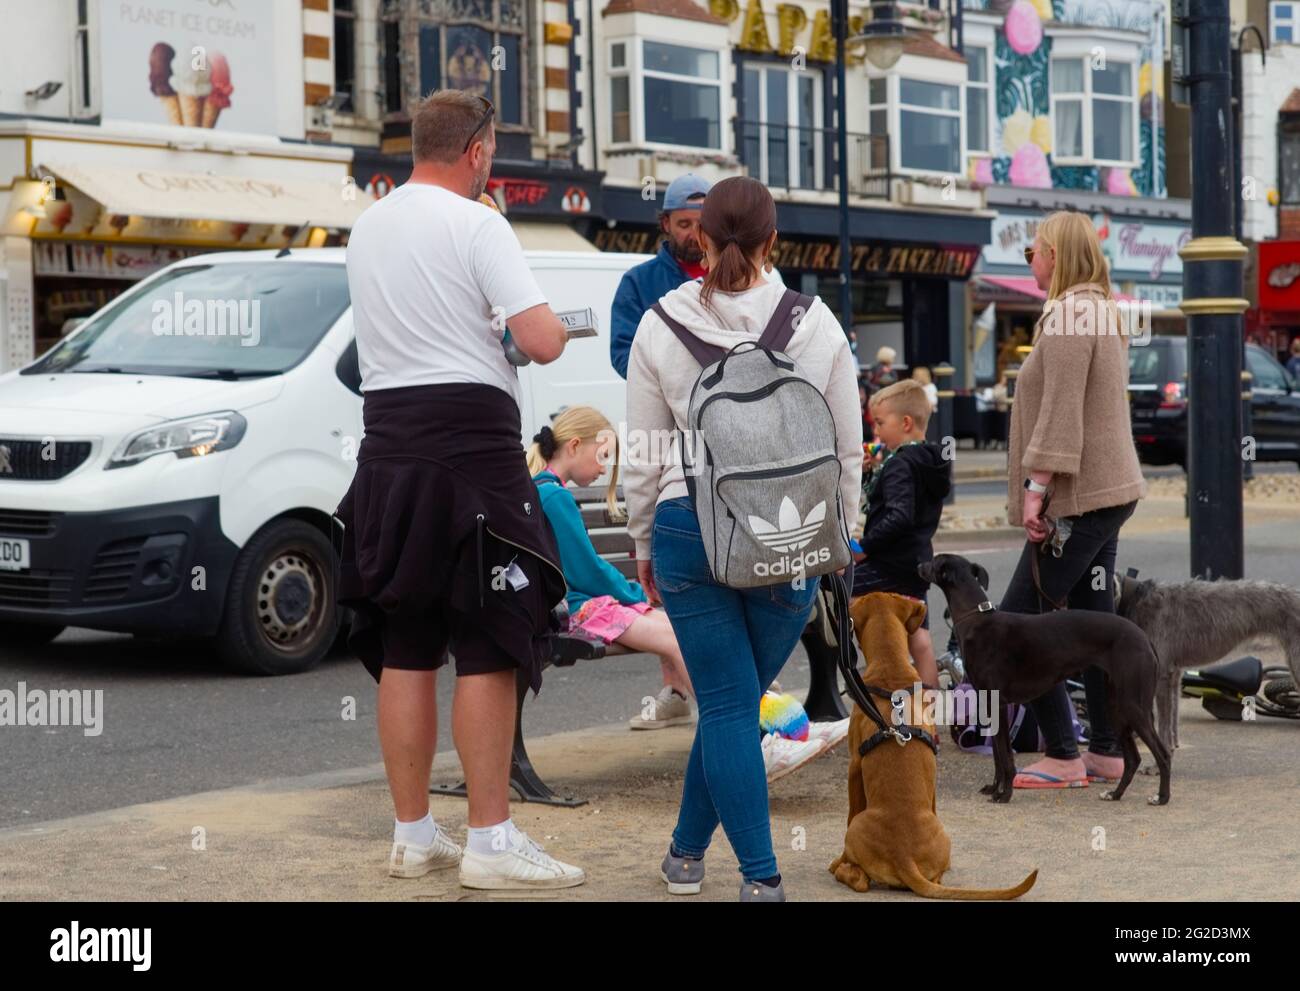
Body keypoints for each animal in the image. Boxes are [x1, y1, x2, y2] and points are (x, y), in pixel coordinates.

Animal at [832, 590, 1034, 899]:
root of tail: (903, 856)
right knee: (937, 877)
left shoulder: (854, 766)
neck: (891, 670)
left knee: (860, 879)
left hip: (856, 827)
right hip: (944, 835)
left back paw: (842, 869)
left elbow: (850, 808)